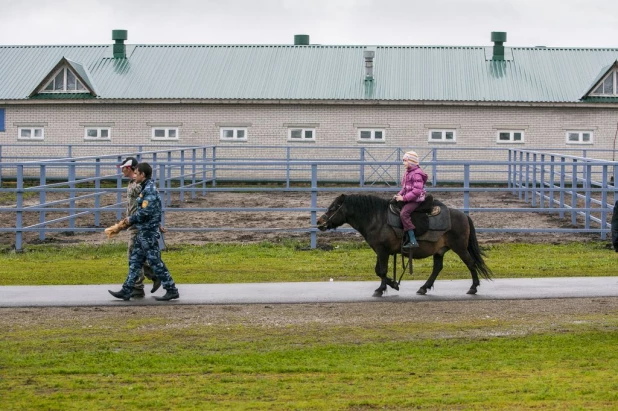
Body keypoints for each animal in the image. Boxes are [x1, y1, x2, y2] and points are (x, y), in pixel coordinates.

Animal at [316, 195, 488, 298]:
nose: (319, 222)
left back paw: (473, 288)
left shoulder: (382, 250)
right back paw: (423, 288)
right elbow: (378, 271)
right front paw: (393, 284)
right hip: (439, 251)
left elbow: (382, 270)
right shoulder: (380, 251)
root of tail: (464, 215)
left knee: (471, 263)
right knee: (437, 268)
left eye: (333, 207)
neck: (377, 219)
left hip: (460, 248)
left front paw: (381, 289)